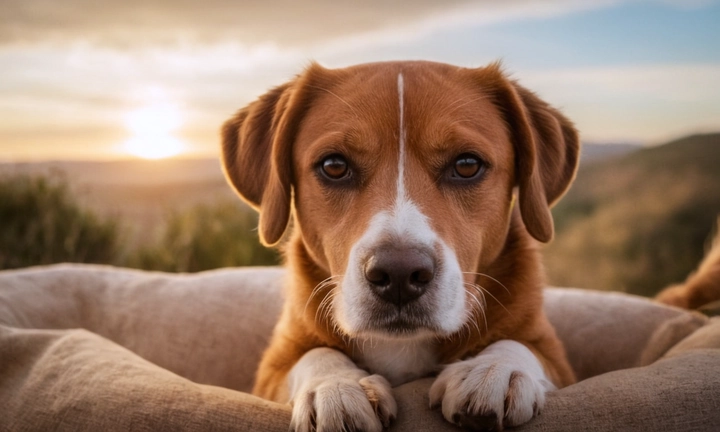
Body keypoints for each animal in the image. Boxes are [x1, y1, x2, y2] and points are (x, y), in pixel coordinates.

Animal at [222, 61, 576, 432]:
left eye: (467, 165)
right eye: (334, 166)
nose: (399, 274)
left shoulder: (559, 361)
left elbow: (518, 344)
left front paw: (496, 369)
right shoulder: (271, 369)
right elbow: (312, 354)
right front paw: (335, 384)